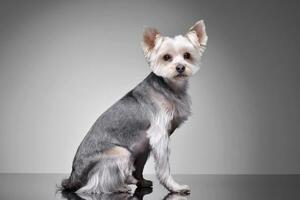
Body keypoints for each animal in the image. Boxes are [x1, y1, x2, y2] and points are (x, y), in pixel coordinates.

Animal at [60, 19, 207, 194]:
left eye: (187, 55)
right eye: (166, 57)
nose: (180, 67)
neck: (170, 87)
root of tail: (73, 176)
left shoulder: (144, 146)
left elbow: (140, 167)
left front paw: (141, 181)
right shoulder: (159, 135)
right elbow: (164, 166)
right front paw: (174, 187)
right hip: (121, 152)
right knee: (92, 185)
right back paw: (119, 187)